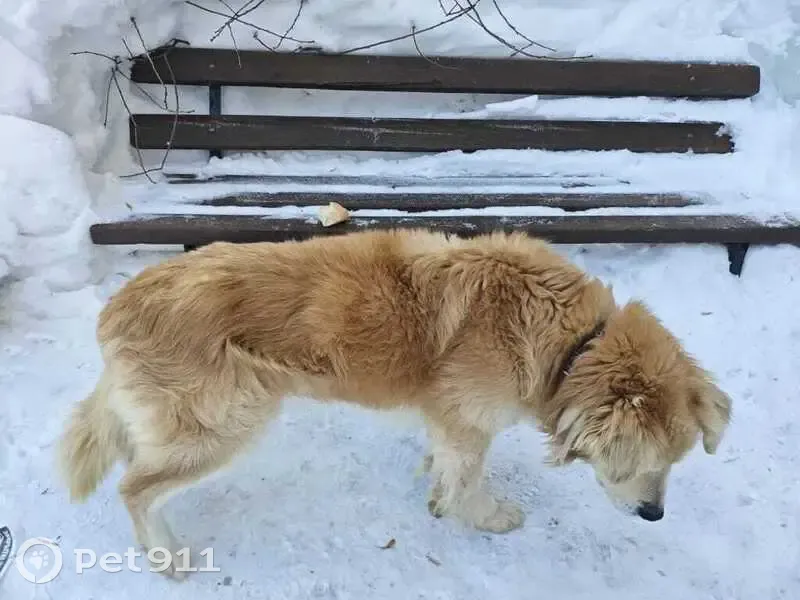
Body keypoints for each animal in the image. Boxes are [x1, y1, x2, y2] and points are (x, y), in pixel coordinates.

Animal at [58, 229, 731, 578]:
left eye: (674, 462)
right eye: (638, 463)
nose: (654, 516)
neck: (573, 343)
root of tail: (117, 307)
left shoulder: (450, 419)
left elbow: (443, 463)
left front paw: (435, 489)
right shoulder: (470, 425)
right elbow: (470, 482)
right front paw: (486, 516)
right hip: (222, 427)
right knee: (134, 487)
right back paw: (165, 556)